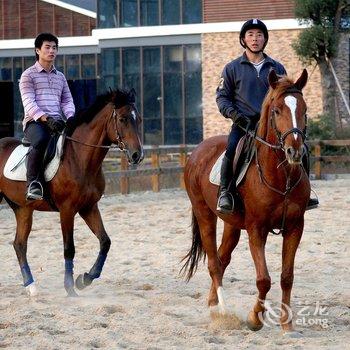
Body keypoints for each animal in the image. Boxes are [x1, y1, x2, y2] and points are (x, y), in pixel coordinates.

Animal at [0, 87, 144, 296]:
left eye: (138, 119)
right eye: (123, 119)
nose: (137, 155)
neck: (79, 158)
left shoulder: (89, 207)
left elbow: (105, 241)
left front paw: (84, 279)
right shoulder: (67, 210)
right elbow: (69, 248)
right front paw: (70, 288)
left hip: (23, 209)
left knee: (19, 245)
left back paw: (31, 287)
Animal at [182, 69, 310, 334]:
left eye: (304, 109)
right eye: (277, 111)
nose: (294, 151)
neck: (280, 176)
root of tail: (198, 151)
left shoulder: (295, 227)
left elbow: (286, 277)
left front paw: (287, 323)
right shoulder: (256, 230)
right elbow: (263, 279)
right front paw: (254, 319)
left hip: (231, 225)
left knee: (222, 258)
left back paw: (212, 302)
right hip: (204, 214)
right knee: (214, 263)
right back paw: (222, 310)